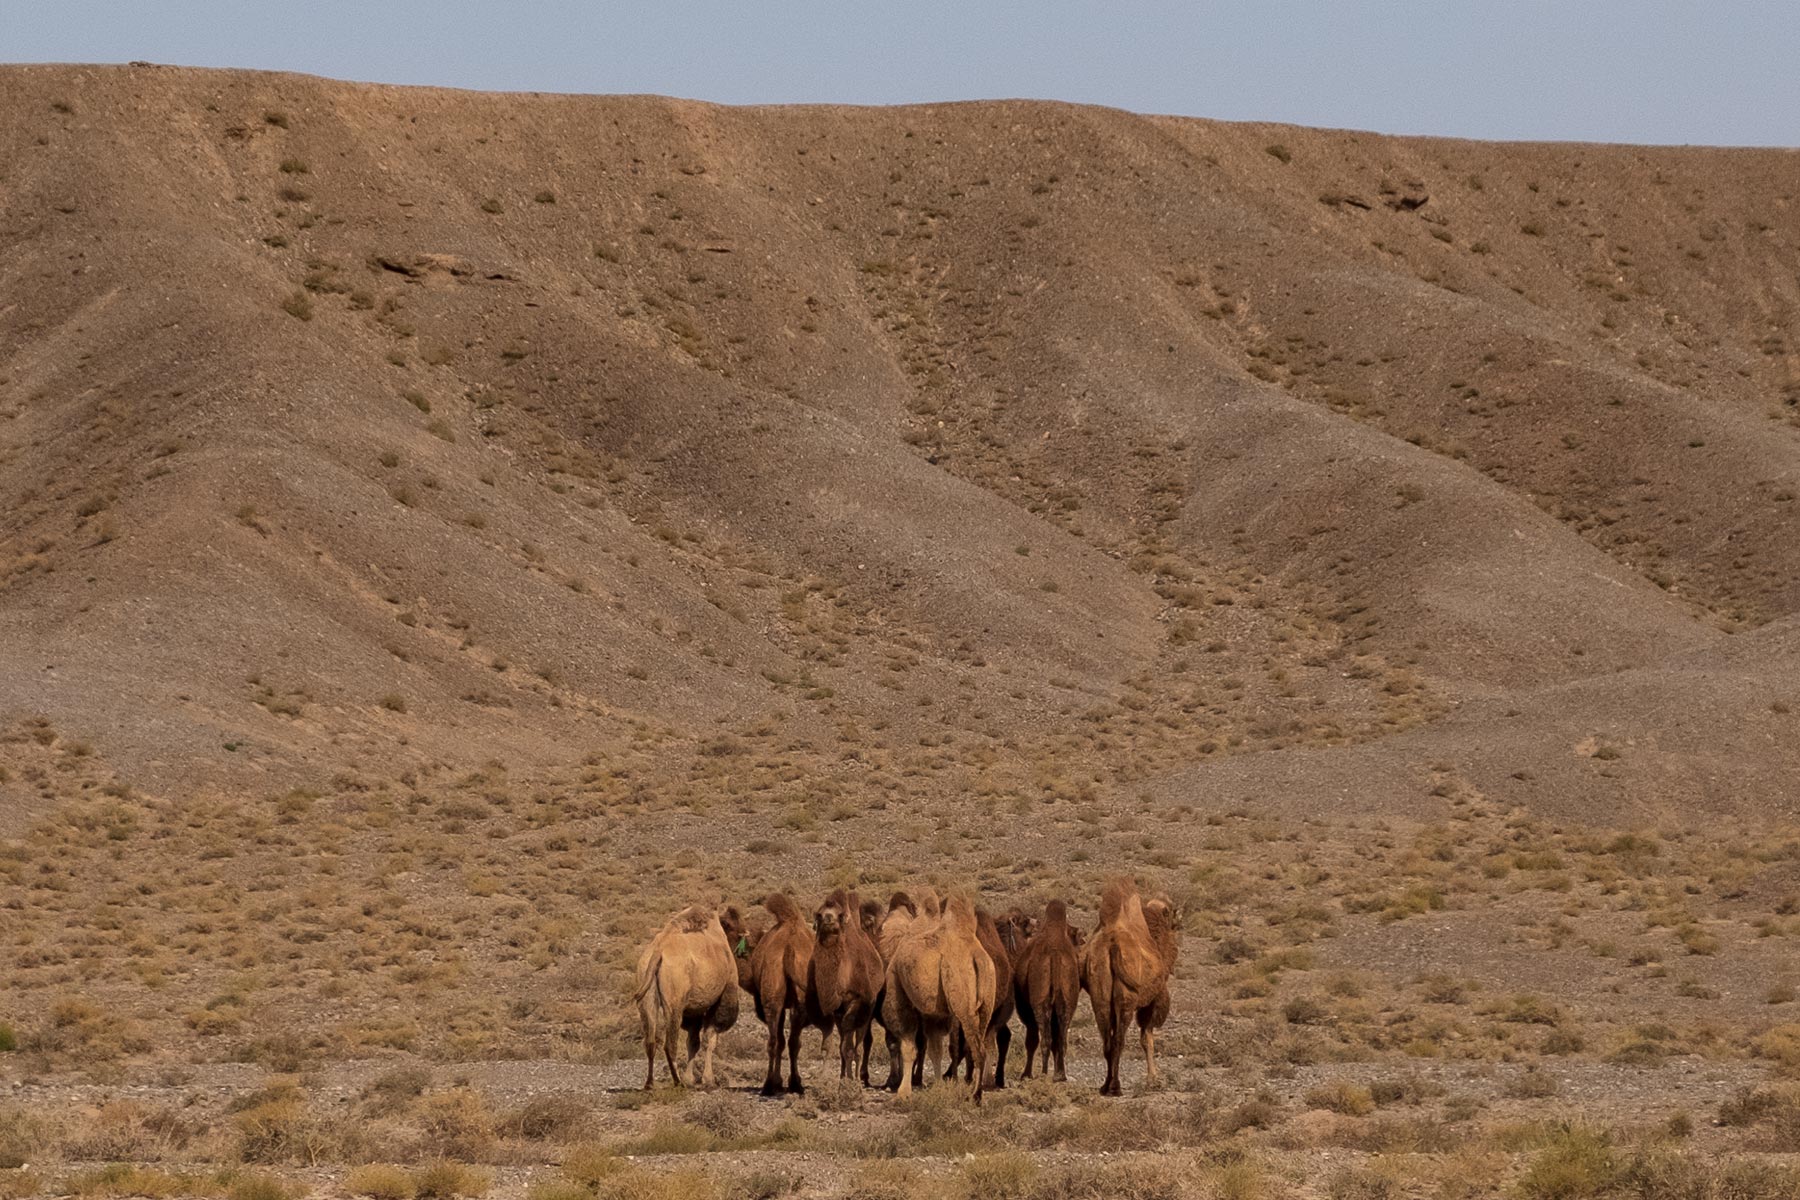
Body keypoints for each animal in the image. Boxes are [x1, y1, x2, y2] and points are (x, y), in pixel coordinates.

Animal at [637, 906, 741, 1093]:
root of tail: (657, 953)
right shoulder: (721, 996)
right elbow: (709, 1040)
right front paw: (708, 1080)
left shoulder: (694, 1009)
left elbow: (693, 1041)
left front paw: (691, 1079)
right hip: (675, 1002)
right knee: (670, 1043)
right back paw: (678, 1082)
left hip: (646, 993)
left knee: (650, 1040)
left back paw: (649, 1084)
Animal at [741, 892, 813, 1101]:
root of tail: (789, 948)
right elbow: (785, 1041)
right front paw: (783, 1082)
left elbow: (778, 1040)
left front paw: (777, 1081)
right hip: (800, 1000)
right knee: (794, 1042)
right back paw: (796, 1084)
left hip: (772, 998)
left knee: (773, 1041)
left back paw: (768, 1085)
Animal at [878, 888, 993, 1101]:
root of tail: (976, 956)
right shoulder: (935, 1013)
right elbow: (935, 1049)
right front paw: (938, 1086)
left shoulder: (900, 996)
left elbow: (908, 1047)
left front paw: (903, 1092)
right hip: (987, 1000)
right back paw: (976, 1092)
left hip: (962, 999)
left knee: (978, 1048)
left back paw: (975, 1095)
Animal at [1015, 895, 1080, 1086]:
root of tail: (1055, 955)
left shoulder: (1027, 1010)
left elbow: (1031, 1040)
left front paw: (1027, 1074)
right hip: (1067, 1002)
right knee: (1060, 1039)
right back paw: (1060, 1075)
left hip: (1039, 1002)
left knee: (1043, 1038)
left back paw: (1042, 1073)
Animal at [1080, 877, 1180, 1093]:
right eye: (1171, 912)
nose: (1179, 919)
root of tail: (1112, 944)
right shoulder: (1153, 1000)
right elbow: (1147, 1039)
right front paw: (1153, 1079)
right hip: (1126, 999)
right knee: (1119, 1039)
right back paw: (1115, 1087)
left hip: (1100, 998)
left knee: (1107, 1039)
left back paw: (1105, 1086)